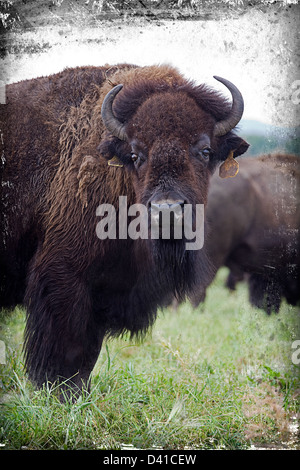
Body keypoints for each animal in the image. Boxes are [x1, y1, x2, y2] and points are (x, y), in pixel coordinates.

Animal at [0, 62, 248, 392]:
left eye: (205, 151)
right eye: (135, 155)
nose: (167, 211)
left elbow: (86, 355)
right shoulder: (64, 276)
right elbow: (65, 349)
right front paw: (59, 392)